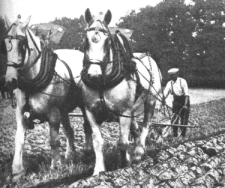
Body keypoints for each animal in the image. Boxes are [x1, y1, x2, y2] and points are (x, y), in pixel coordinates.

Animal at [80, 8, 163, 176]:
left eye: (107, 42)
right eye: (86, 40)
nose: (93, 74)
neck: (102, 82)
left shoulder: (124, 111)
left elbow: (122, 142)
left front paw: (124, 164)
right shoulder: (90, 111)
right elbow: (98, 141)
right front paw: (98, 170)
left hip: (151, 100)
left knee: (146, 124)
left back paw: (138, 153)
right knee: (136, 129)